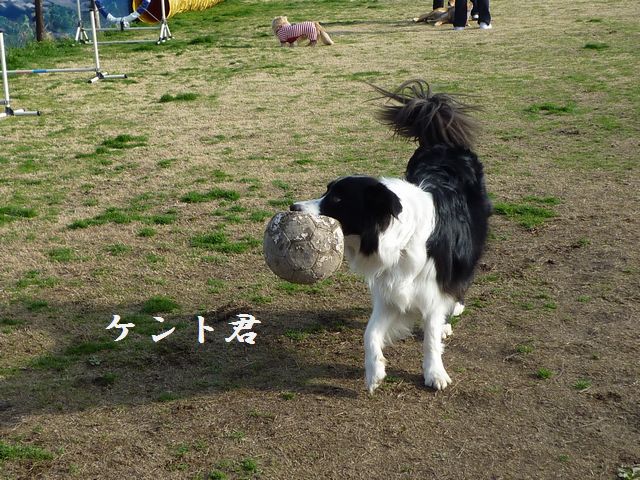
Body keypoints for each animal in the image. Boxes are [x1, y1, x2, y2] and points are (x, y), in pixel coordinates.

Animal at [290, 80, 491, 393]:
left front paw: (434, 372)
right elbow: (370, 333)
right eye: (327, 191)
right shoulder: (389, 290)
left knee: (462, 278)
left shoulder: (430, 288)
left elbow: (431, 335)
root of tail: (442, 143)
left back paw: (452, 312)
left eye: (337, 199)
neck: (398, 241)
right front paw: (374, 372)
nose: (293, 207)